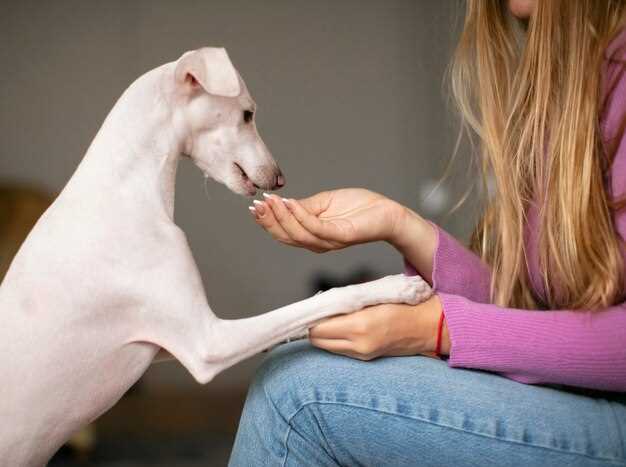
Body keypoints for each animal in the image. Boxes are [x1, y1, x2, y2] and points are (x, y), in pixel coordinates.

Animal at [0, 47, 428, 464]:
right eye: (248, 114)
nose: (279, 179)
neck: (120, 191)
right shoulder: (207, 343)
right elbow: (320, 301)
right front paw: (397, 287)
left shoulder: (169, 345)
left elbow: (298, 318)